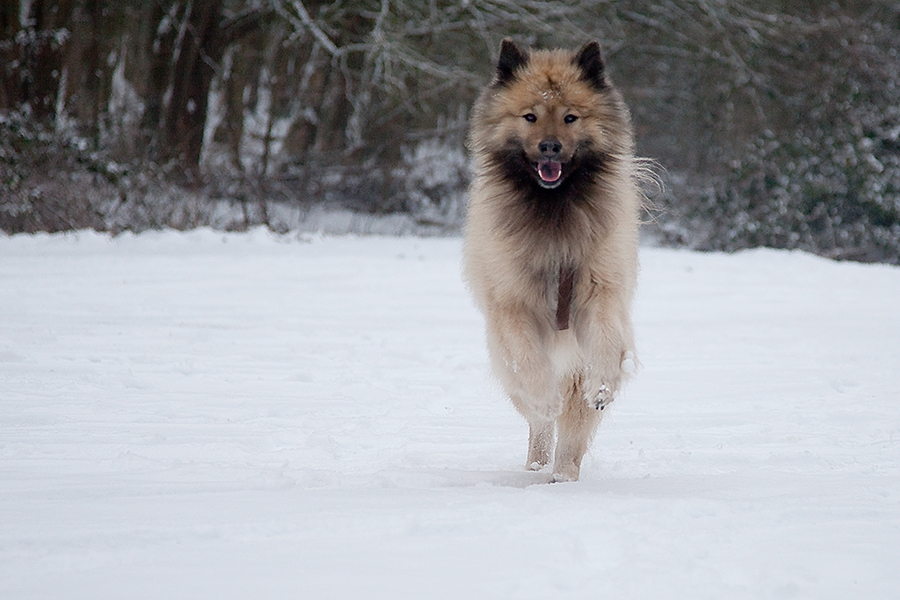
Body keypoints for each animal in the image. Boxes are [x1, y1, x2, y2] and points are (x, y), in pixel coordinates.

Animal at [464, 38, 640, 482]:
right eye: (530, 116)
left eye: (570, 117)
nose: (550, 147)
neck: (554, 213)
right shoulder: (512, 305)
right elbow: (528, 360)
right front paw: (544, 398)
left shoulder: (599, 291)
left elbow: (607, 342)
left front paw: (603, 385)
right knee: (539, 422)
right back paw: (538, 463)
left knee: (574, 429)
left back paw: (563, 475)